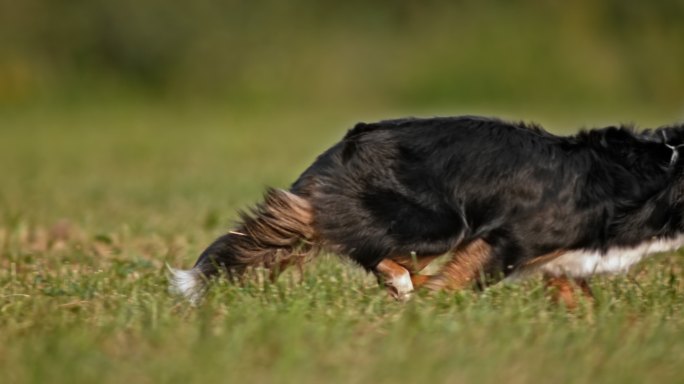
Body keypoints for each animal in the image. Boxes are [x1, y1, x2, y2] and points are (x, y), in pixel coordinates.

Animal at [168, 115, 684, 308]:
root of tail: (346, 144)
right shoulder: (508, 240)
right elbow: (459, 283)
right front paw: (435, 309)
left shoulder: (563, 264)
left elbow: (583, 304)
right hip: (438, 224)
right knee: (346, 238)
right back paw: (405, 288)